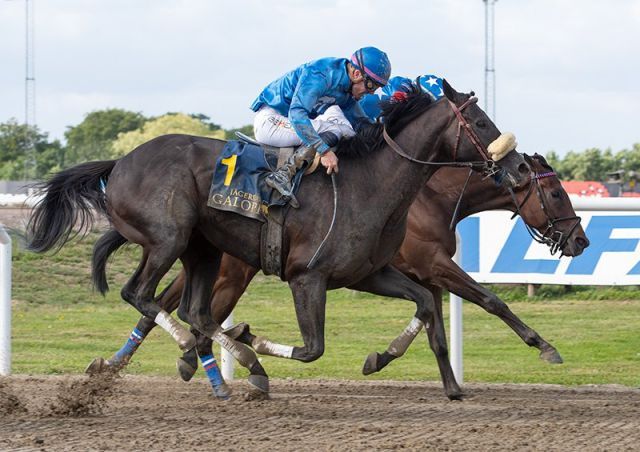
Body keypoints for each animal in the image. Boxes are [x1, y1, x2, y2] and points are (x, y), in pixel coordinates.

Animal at [27, 81, 528, 400]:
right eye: (481, 121)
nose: (520, 167)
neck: (371, 183)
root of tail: (119, 163)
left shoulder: (369, 274)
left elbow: (424, 305)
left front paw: (386, 361)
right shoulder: (308, 277)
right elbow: (312, 349)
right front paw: (255, 342)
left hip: (204, 251)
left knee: (193, 310)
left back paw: (220, 370)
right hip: (169, 239)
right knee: (143, 295)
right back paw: (227, 359)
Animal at [87, 154, 588, 390]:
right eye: (557, 194)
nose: (580, 241)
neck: (431, 198)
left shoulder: (423, 275)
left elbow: (433, 326)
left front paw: (398, 363)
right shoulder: (434, 265)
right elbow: (490, 299)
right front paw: (544, 346)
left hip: (222, 268)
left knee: (170, 303)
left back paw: (139, 362)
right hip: (232, 272)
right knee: (178, 306)